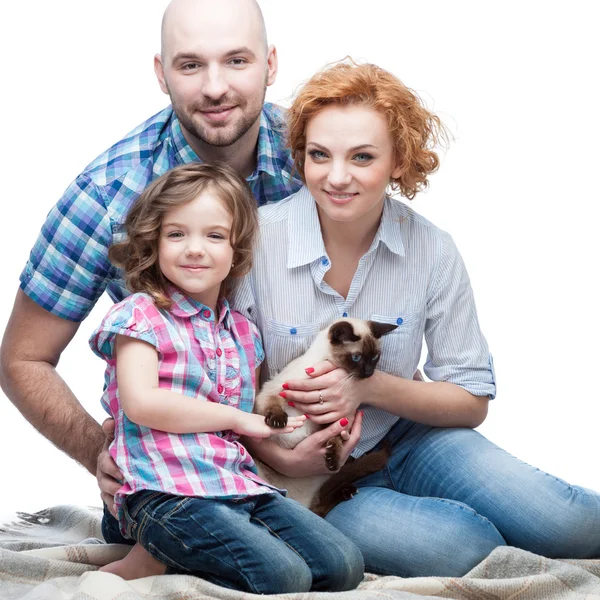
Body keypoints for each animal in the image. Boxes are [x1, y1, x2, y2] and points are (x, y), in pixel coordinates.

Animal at [255, 318, 396, 516]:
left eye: (375, 357)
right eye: (357, 358)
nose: (369, 372)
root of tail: (299, 502)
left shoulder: (335, 419)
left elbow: (335, 436)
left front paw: (332, 458)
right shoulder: (272, 393)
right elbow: (273, 405)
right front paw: (278, 420)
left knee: (320, 510)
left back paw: (347, 491)